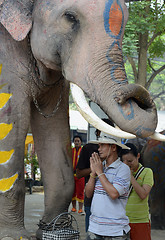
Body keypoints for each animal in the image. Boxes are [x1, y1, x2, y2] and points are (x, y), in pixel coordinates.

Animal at [0, 0, 163, 239]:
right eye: (70, 17)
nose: (126, 94)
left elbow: (54, 130)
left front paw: (57, 230)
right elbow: (9, 126)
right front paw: (13, 236)